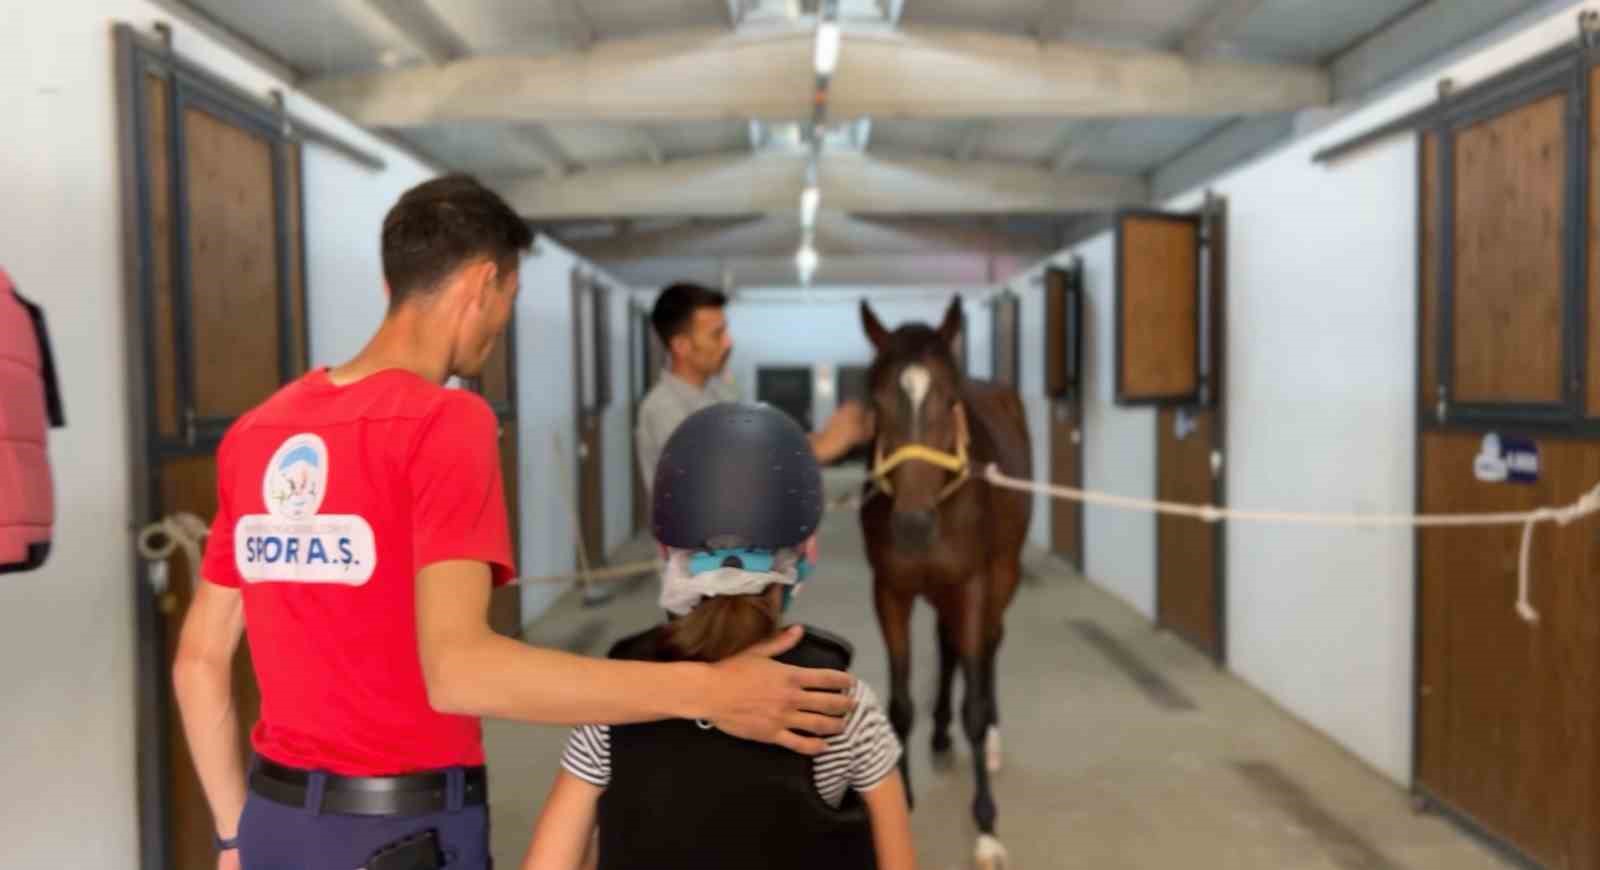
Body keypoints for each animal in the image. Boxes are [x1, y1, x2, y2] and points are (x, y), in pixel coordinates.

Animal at [857, 295, 1030, 863]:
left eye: (950, 400)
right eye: (876, 401)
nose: (912, 526)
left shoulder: (973, 583)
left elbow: (972, 703)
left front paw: (987, 826)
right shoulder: (890, 591)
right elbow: (900, 704)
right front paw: (901, 794)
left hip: (1002, 574)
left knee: (989, 643)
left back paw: (991, 741)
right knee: (950, 643)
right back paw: (938, 735)